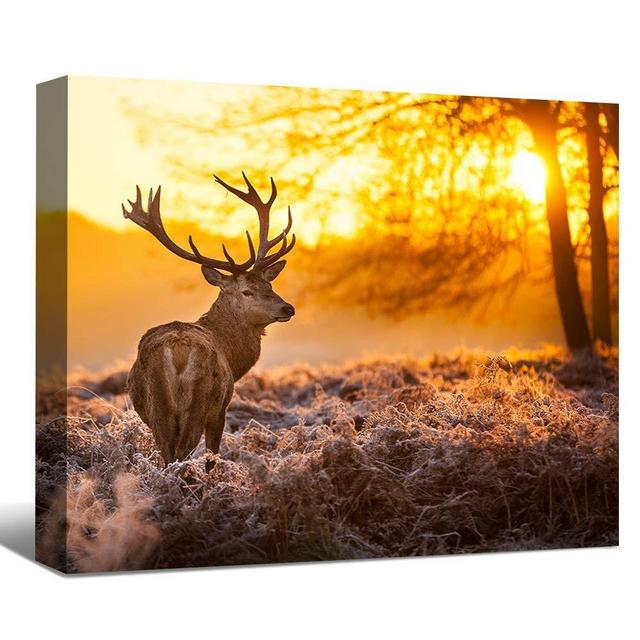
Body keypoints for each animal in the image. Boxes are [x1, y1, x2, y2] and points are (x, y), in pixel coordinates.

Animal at [122, 172, 296, 470]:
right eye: (247, 291)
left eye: (269, 285)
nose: (288, 308)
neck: (232, 356)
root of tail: (177, 350)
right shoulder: (221, 408)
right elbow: (212, 455)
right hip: (200, 401)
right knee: (181, 454)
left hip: (158, 408)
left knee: (167, 455)